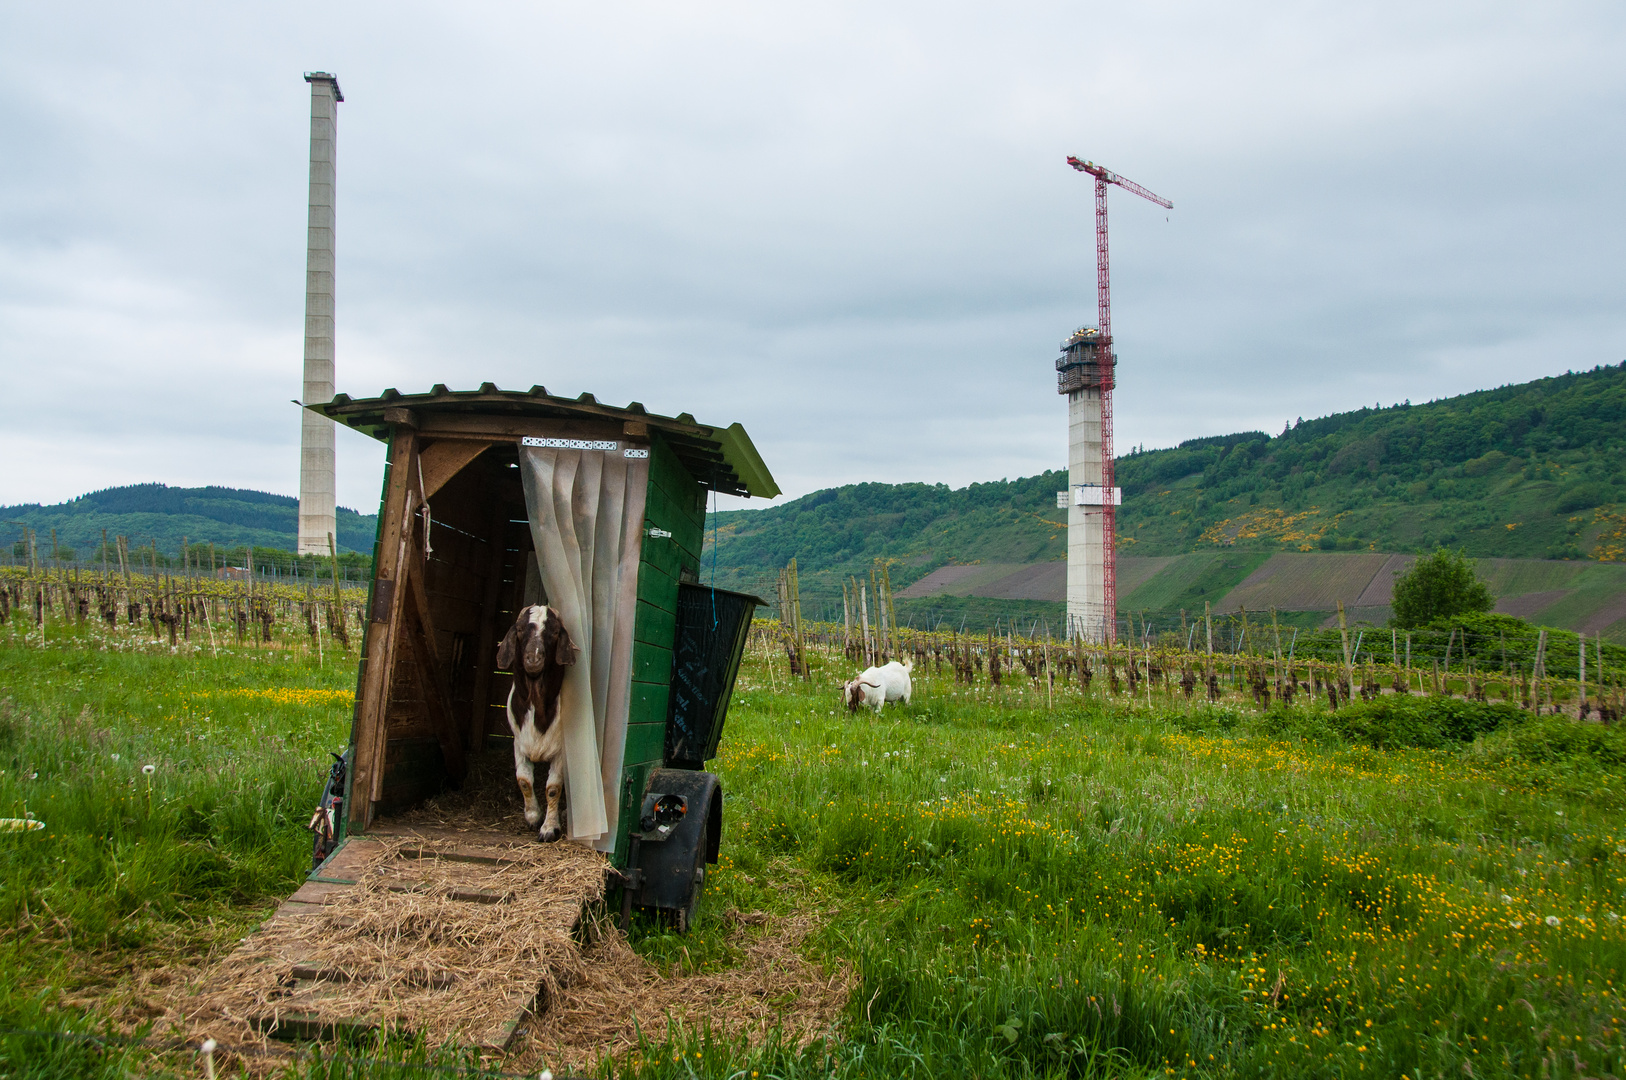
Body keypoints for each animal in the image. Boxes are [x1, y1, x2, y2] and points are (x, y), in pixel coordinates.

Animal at [497, 601, 582, 839]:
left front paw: (549, 828)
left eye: (554, 632)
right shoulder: (519, 743)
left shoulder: (561, 751)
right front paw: (533, 817)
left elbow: (553, 788)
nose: (533, 659)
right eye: (519, 629)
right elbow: (524, 780)